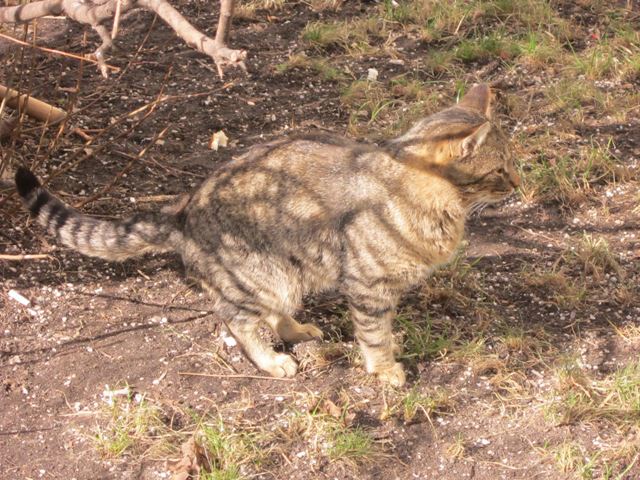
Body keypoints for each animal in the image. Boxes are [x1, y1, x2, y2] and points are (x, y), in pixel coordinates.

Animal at [16, 84, 520, 388]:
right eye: (500, 169)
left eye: (512, 163)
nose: (519, 183)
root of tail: (182, 209)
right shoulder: (368, 287)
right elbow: (375, 334)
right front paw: (385, 370)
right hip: (258, 277)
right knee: (235, 320)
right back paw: (274, 361)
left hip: (285, 275)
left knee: (274, 312)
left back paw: (298, 330)